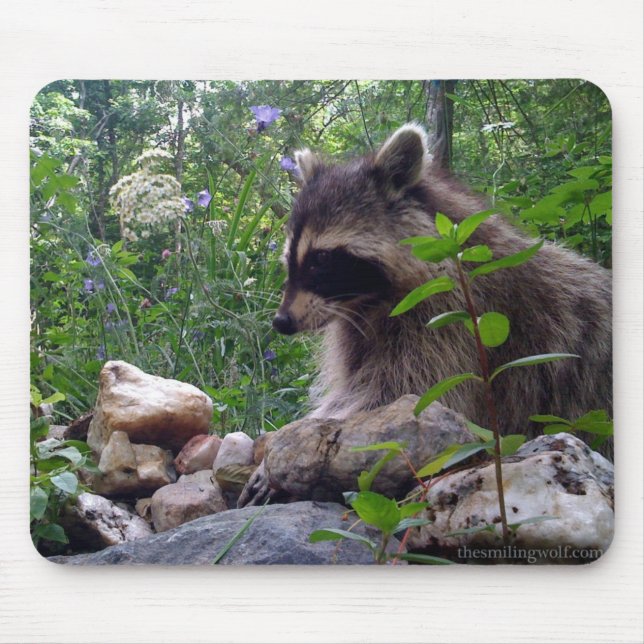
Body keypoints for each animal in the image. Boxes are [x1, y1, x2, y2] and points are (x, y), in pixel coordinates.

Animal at [273, 124, 613, 452]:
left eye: (321, 258)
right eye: (289, 258)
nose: (281, 321)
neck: (371, 301)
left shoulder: (452, 319)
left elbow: (408, 393)